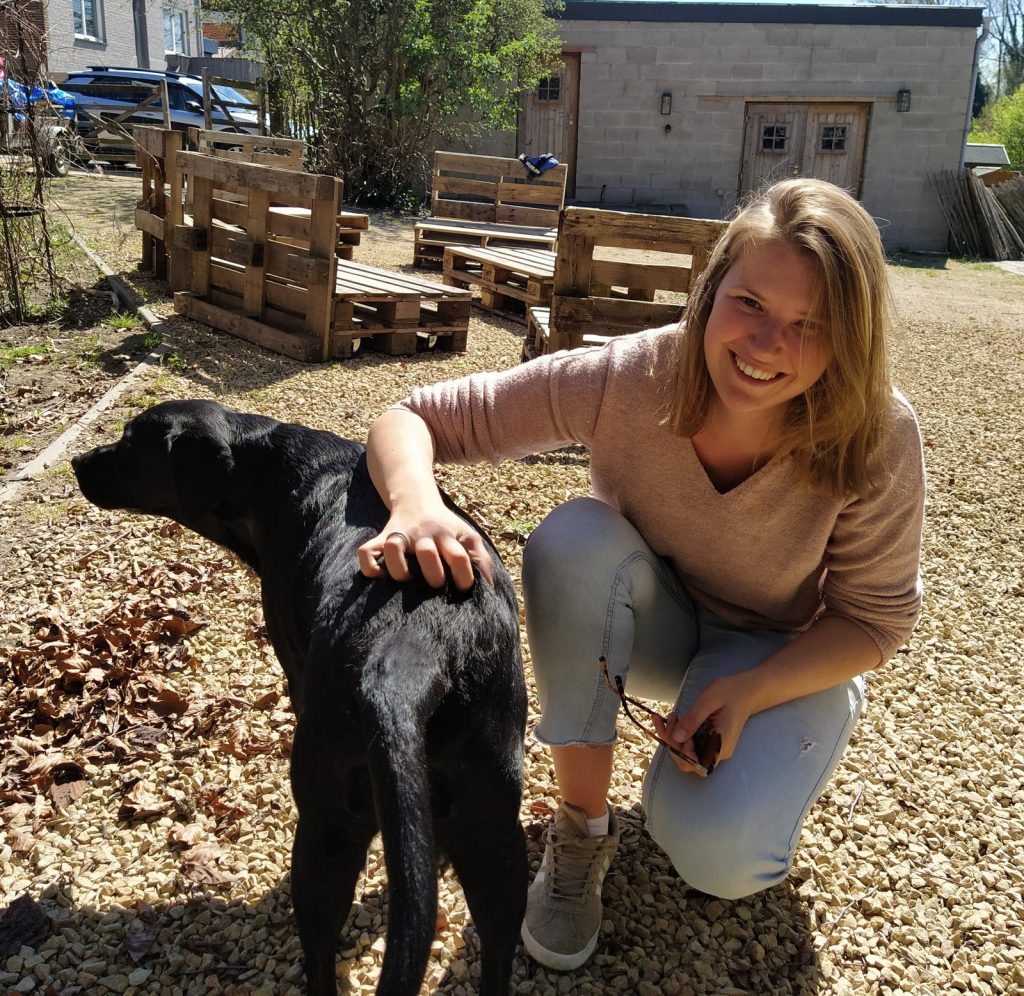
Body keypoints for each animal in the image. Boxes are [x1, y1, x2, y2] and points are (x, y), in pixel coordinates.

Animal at [72, 399, 528, 996]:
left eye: (130, 443)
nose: (78, 463)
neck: (268, 470)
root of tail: (412, 650)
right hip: (495, 828)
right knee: (497, 939)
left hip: (324, 825)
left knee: (318, 945)